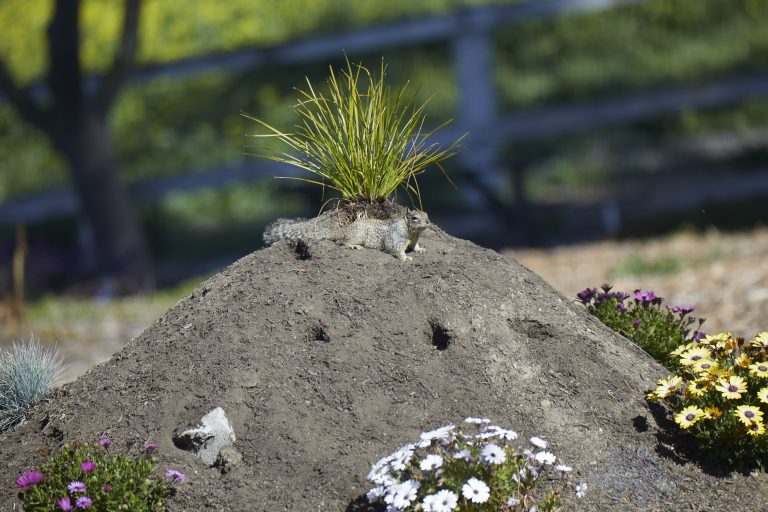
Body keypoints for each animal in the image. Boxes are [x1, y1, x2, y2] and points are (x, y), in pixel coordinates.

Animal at [263, 209, 430, 261]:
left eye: (427, 214)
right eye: (415, 218)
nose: (428, 222)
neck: (411, 232)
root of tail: (345, 230)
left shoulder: (414, 240)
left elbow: (415, 246)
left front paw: (420, 249)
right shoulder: (396, 238)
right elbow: (396, 249)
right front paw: (405, 258)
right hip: (358, 235)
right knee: (343, 242)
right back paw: (353, 246)